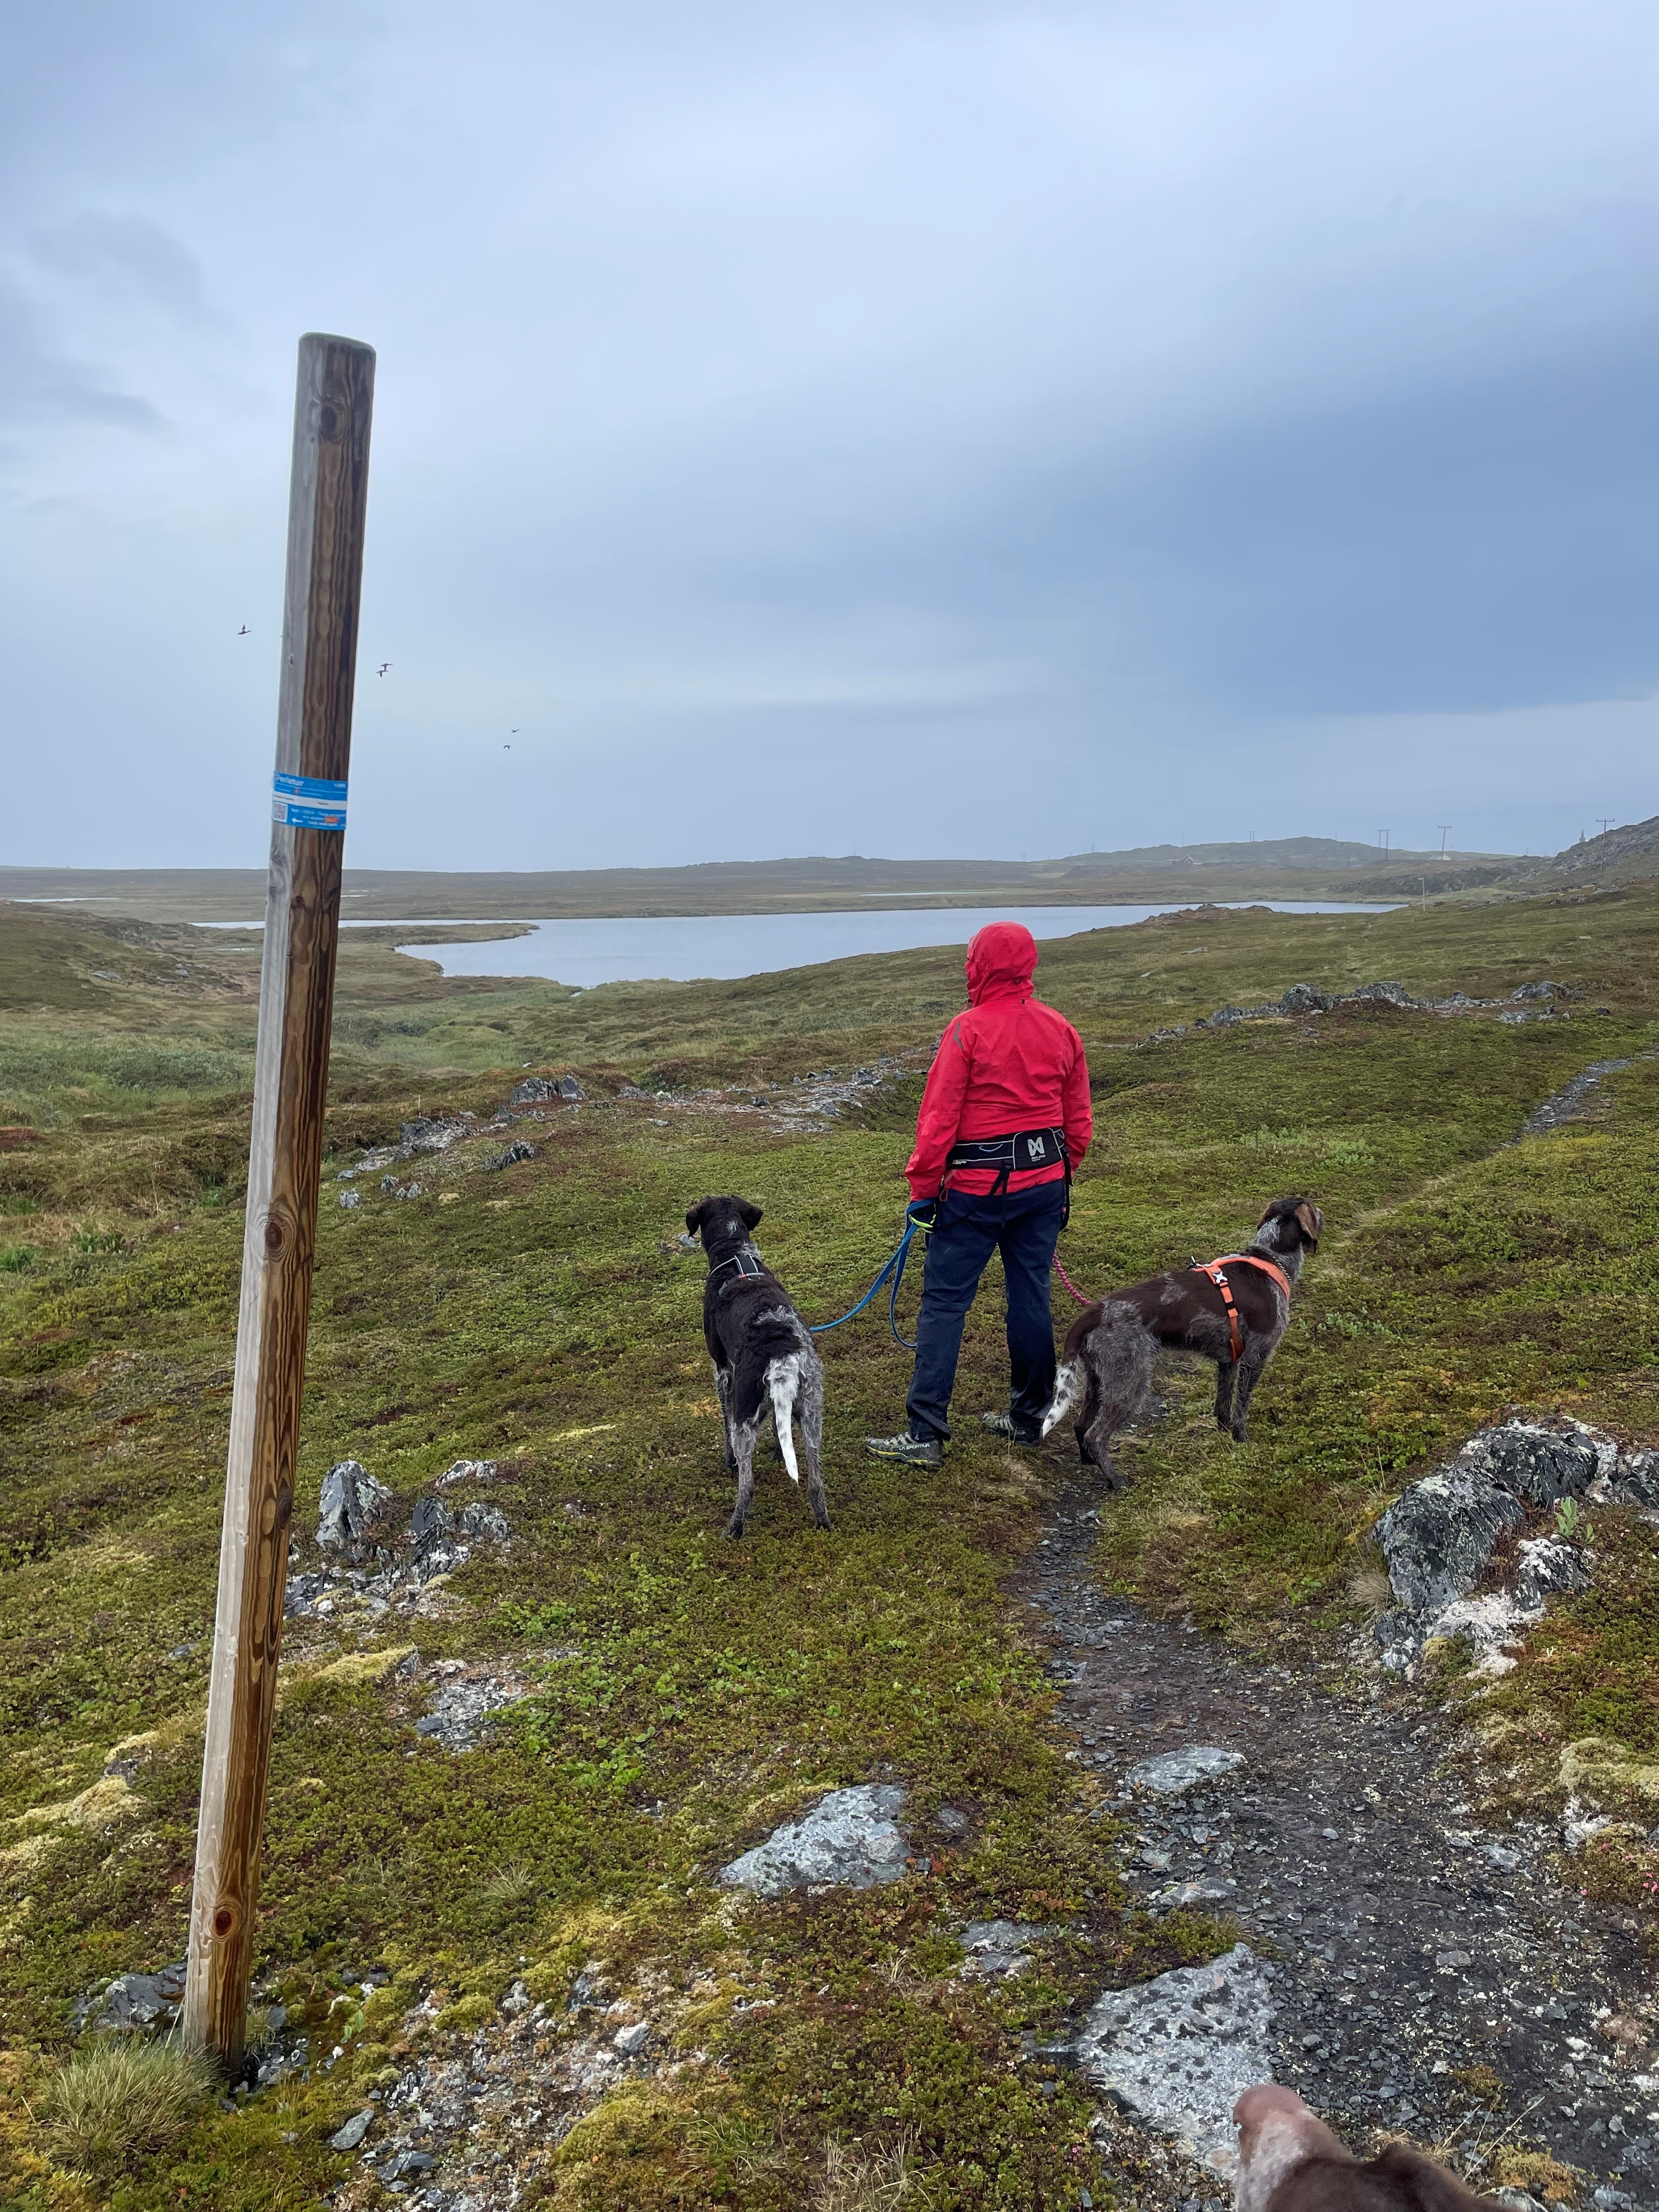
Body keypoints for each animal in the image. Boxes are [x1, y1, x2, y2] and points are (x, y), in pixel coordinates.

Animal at [681, 1194, 832, 1539]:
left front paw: (729, 1461)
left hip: (745, 1417)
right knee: (816, 1484)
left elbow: (724, 1427)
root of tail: (781, 1351)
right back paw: (823, 1523)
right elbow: (780, 1431)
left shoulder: (723, 1371)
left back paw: (733, 1530)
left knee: (747, 1486)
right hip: (812, 1417)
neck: (735, 1255)